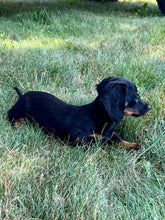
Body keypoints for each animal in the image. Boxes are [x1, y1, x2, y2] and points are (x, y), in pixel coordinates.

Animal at [7, 76, 150, 150]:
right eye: (136, 98)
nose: (149, 107)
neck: (98, 118)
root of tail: (22, 95)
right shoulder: (77, 136)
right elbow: (93, 146)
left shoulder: (110, 134)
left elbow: (120, 140)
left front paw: (134, 145)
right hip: (18, 112)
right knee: (11, 116)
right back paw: (17, 125)